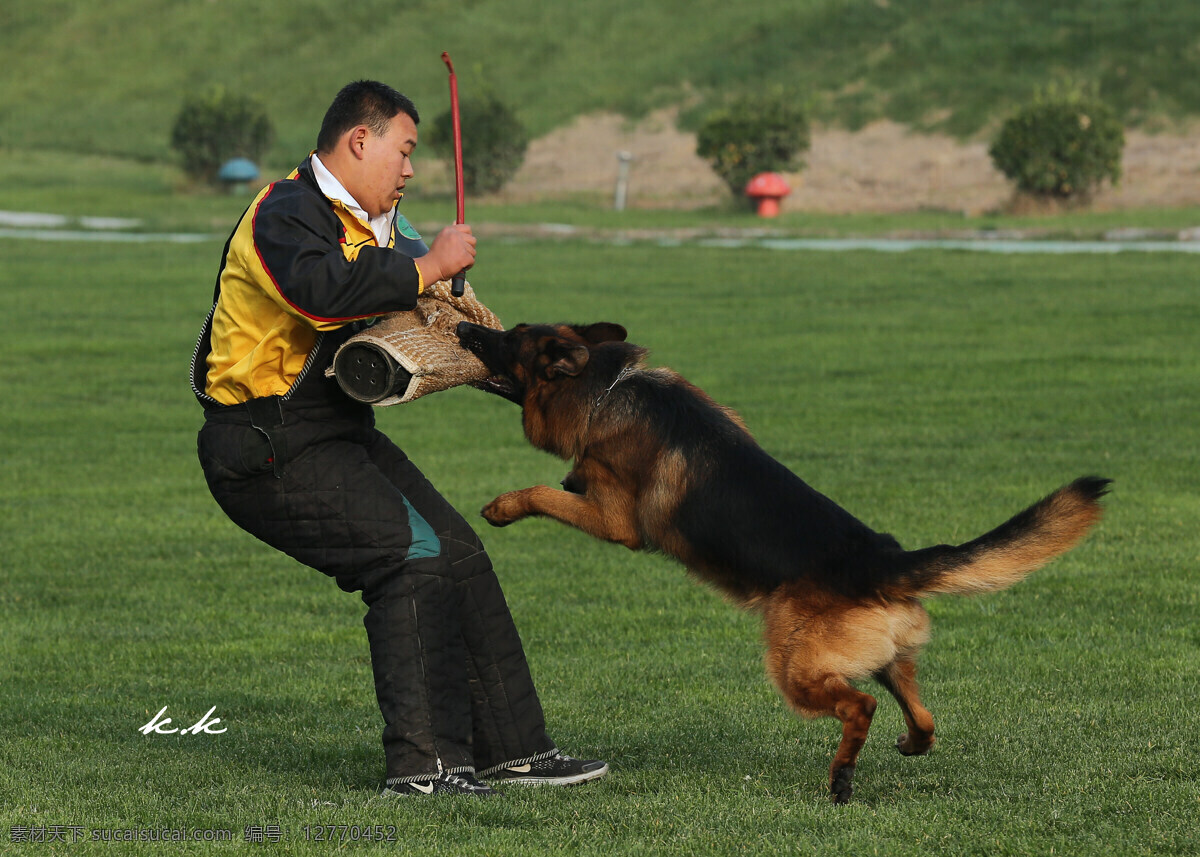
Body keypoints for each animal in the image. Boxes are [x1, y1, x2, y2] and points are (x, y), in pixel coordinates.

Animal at [456, 319, 1104, 801]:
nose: (462, 325)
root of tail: (883, 559)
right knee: (921, 718)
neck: (607, 386)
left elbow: (545, 492)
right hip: (885, 659)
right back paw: (905, 747)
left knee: (861, 705)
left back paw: (841, 778)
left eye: (509, 338)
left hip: (794, 665)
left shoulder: (616, 522)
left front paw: (502, 506)